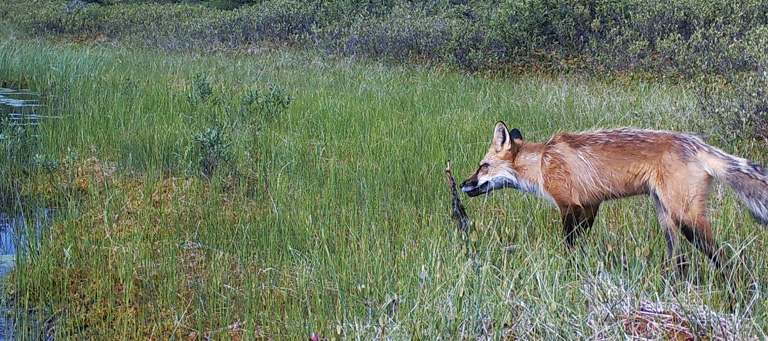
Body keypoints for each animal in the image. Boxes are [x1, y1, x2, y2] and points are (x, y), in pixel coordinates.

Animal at [462, 121, 768, 270]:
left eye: (482, 165)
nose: (464, 184)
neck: (542, 163)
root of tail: (697, 143)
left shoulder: (569, 206)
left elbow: (569, 247)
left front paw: (569, 272)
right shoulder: (589, 206)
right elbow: (579, 246)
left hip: (687, 219)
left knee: (725, 259)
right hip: (666, 218)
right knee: (679, 261)